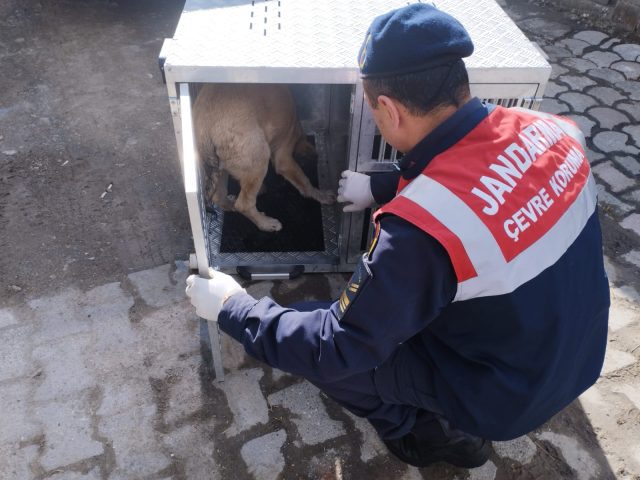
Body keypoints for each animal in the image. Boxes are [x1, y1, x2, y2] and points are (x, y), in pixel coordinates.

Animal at [194, 83, 336, 232]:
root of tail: (205, 129)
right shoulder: (284, 158)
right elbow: (305, 181)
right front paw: (320, 195)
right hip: (260, 159)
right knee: (243, 205)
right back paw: (266, 223)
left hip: (220, 169)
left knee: (219, 196)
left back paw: (231, 204)